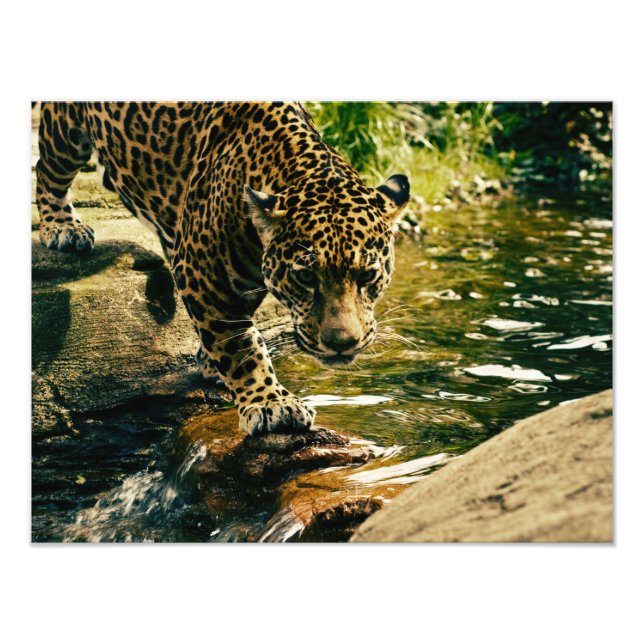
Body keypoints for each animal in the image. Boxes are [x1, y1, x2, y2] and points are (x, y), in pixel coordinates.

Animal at [36, 101, 410, 436]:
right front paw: (271, 403)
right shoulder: (203, 274)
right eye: (305, 277)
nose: (342, 343)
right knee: (46, 167)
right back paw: (62, 226)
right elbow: (240, 345)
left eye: (367, 276)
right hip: (65, 131)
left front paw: (211, 363)